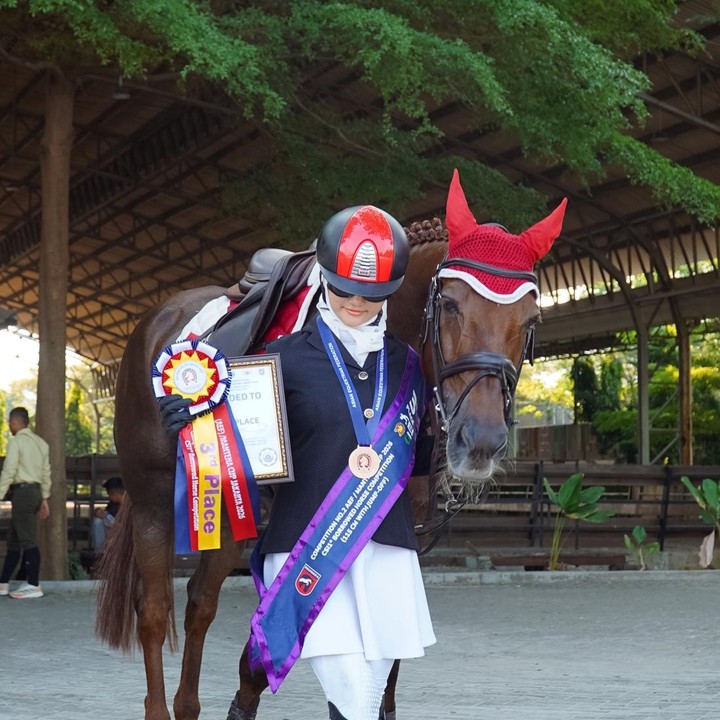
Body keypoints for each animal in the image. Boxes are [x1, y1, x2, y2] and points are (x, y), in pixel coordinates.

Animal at [97, 177, 565, 720]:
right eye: (449, 304)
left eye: (531, 320)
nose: (481, 441)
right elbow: (268, 650)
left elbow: (384, 664)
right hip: (153, 501)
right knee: (153, 611)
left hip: (228, 511)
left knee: (199, 604)